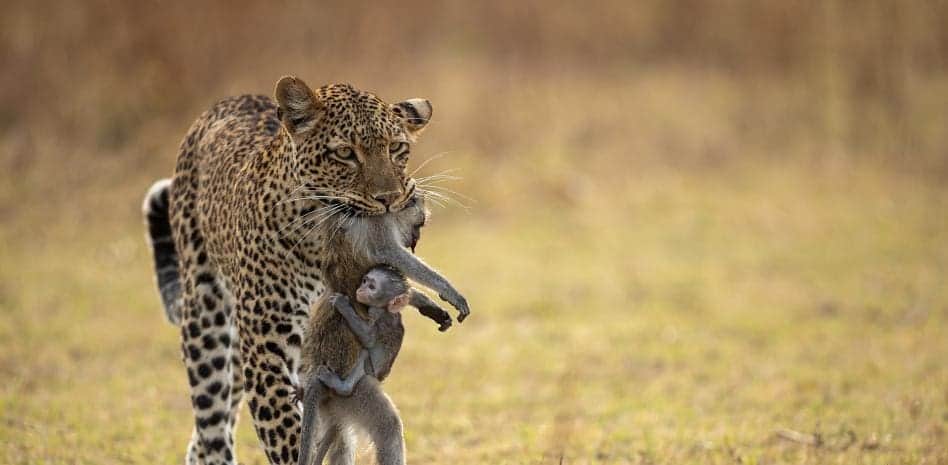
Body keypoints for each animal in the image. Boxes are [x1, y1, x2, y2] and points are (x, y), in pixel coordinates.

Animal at [142, 76, 465, 465]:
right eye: (345, 154)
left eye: (397, 148)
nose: (390, 198)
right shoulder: (266, 349)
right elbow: (290, 436)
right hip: (207, 320)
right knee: (212, 426)